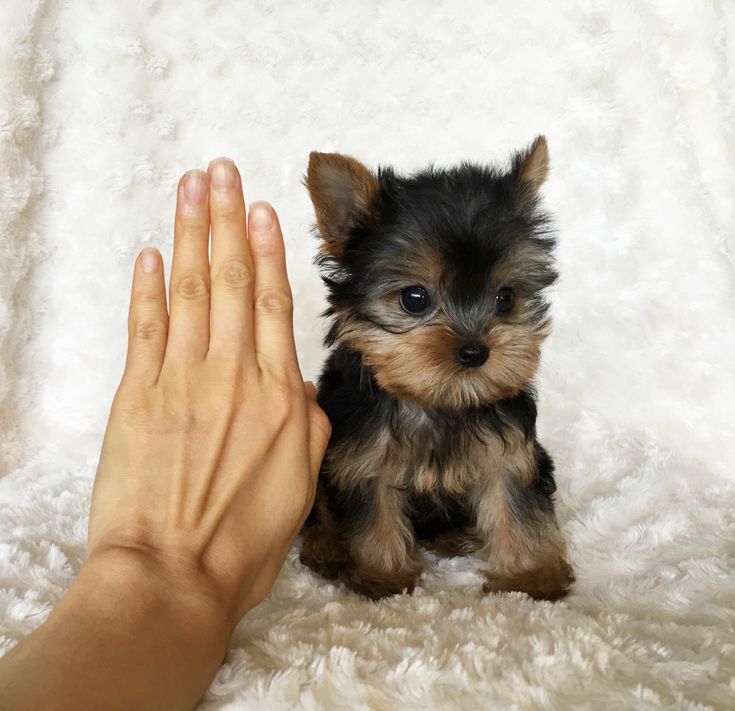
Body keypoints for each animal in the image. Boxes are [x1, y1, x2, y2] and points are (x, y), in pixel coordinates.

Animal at [300, 138, 576, 600]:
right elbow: (372, 514)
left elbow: (516, 504)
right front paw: (382, 576)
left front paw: (530, 577)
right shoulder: (362, 459)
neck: (438, 399)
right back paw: (326, 549)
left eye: (505, 298)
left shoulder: (508, 451)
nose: (475, 351)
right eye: (414, 298)